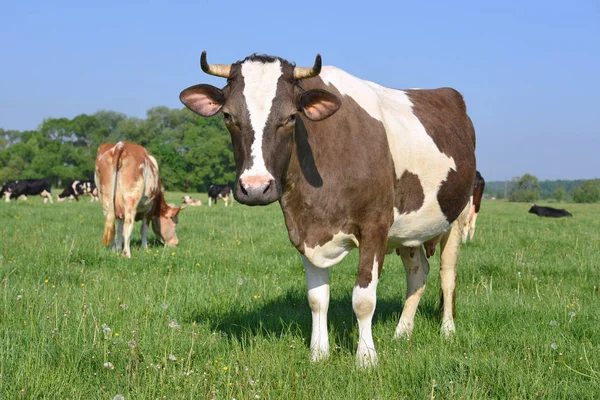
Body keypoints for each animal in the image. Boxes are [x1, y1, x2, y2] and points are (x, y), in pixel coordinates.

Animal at [180, 50, 476, 366]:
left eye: (291, 117)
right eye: (227, 116)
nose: (256, 187)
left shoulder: (375, 227)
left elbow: (363, 299)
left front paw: (366, 358)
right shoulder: (304, 229)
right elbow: (317, 298)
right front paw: (318, 354)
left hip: (458, 216)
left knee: (448, 275)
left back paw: (447, 331)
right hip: (410, 231)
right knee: (418, 273)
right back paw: (402, 332)